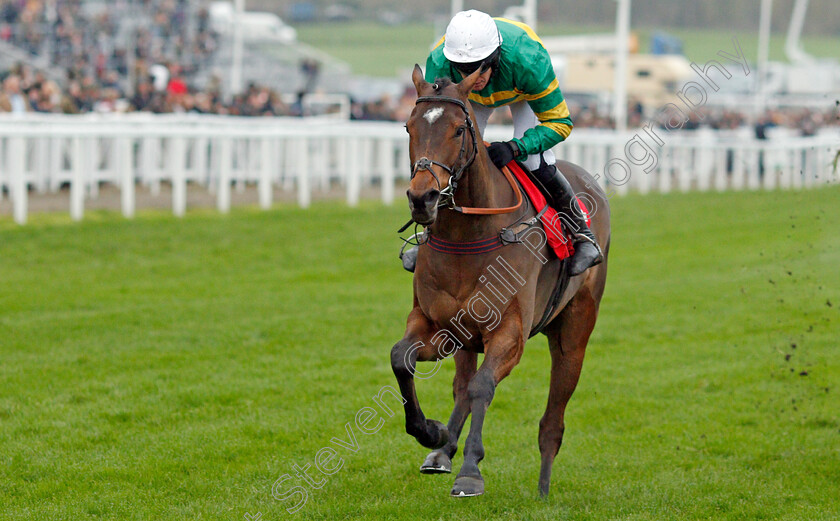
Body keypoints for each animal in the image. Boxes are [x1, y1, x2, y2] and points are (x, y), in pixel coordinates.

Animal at [388, 64, 612, 496]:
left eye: (460, 129)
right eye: (408, 126)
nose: (422, 198)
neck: (466, 237)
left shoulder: (509, 331)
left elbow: (482, 387)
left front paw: (470, 470)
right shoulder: (436, 324)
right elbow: (402, 358)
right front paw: (432, 433)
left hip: (574, 333)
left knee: (553, 417)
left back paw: (543, 487)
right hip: (466, 338)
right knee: (461, 384)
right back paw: (442, 451)